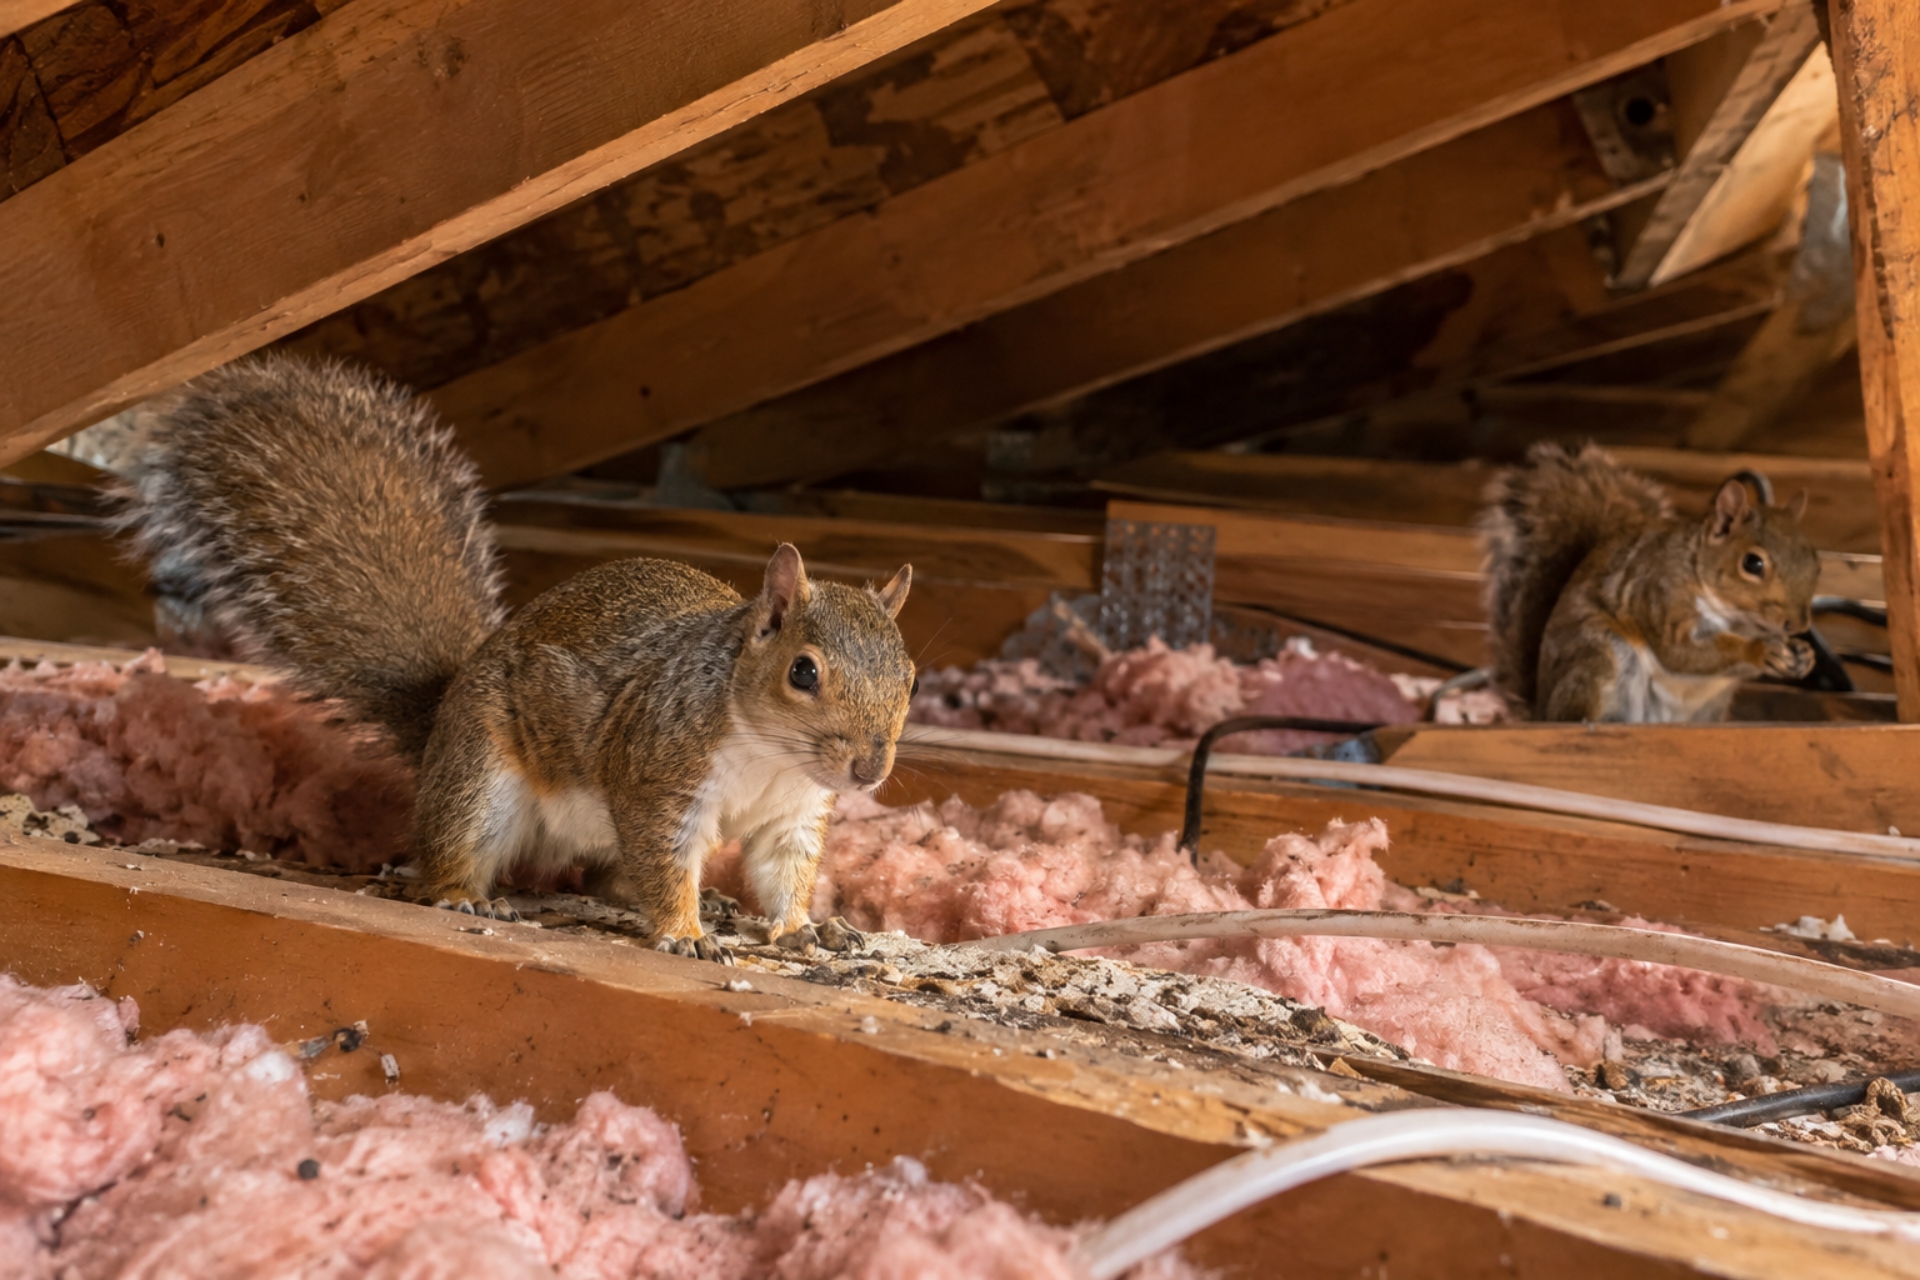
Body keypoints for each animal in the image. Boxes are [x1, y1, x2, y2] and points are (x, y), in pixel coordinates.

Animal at [114, 354, 915, 959]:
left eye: (909, 677)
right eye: (803, 672)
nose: (869, 770)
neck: (770, 754)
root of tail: (440, 719)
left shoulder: (793, 814)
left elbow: (784, 874)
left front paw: (803, 928)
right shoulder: (659, 777)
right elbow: (664, 859)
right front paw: (683, 934)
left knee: (609, 879)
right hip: (480, 776)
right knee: (451, 853)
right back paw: (469, 897)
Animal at [1480, 441, 1819, 723]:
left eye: (1815, 561)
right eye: (1752, 563)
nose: (1799, 625)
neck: (1738, 619)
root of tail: (1540, 708)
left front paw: (1804, 654)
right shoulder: (1660, 595)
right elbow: (1680, 652)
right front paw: (1759, 650)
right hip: (1598, 658)